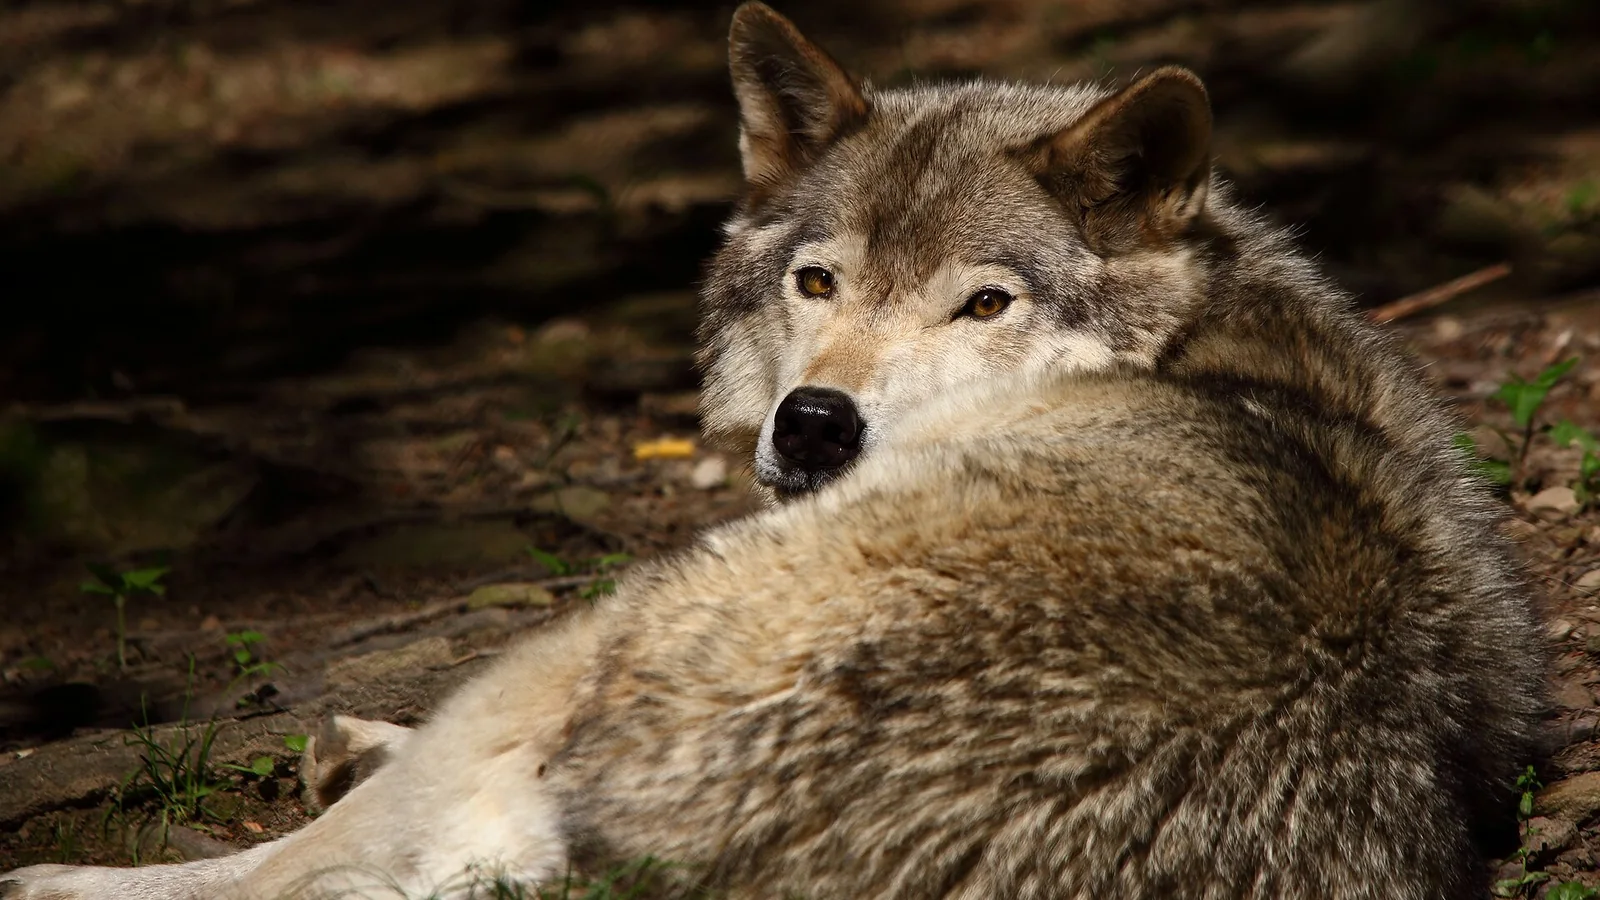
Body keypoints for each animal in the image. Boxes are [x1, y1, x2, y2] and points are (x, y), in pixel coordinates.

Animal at [1, 3, 1546, 898]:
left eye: (985, 303)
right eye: (818, 282)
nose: (815, 424)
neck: (1201, 341)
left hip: (598, 632)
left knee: (315, 862)